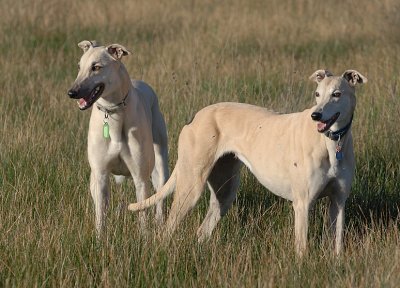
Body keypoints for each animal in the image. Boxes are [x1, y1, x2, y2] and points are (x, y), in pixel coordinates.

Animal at [68, 39, 168, 235]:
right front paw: (99, 238)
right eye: (79, 66)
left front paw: (143, 238)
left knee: (160, 194)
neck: (113, 114)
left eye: (96, 67)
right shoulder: (100, 175)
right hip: (93, 180)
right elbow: (101, 214)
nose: (72, 92)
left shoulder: (140, 178)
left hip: (160, 163)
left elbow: (142, 212)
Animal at [130, 68, 368, 255]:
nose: (315, 115)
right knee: (168, 228)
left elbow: (337, 243)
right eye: (317, 94)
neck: (331, 143)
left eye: (336, 94)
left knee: (202, 230)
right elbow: (301, 248)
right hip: (191, 186)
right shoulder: (302, 203)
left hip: (224, 192)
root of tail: (195, 118)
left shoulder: (338, 202)